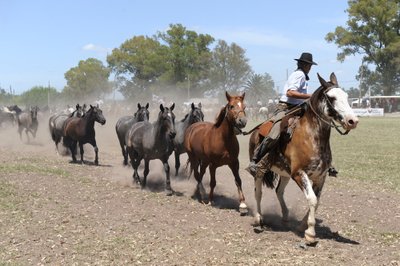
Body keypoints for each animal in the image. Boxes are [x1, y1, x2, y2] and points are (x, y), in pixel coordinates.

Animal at [250, 73, 360, 245]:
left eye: (347, 96)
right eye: (332, 97)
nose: (352, 121)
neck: (311, 137)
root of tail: (256, 130)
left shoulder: (320, 177)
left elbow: (316, 200)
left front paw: (303, 226)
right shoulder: (299, 174)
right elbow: (312, 199)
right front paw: (310, 234)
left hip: (284, 173)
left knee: (279, 191)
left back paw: (285, 217)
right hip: (260, 170)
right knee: (258, 193)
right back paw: (258, 219)